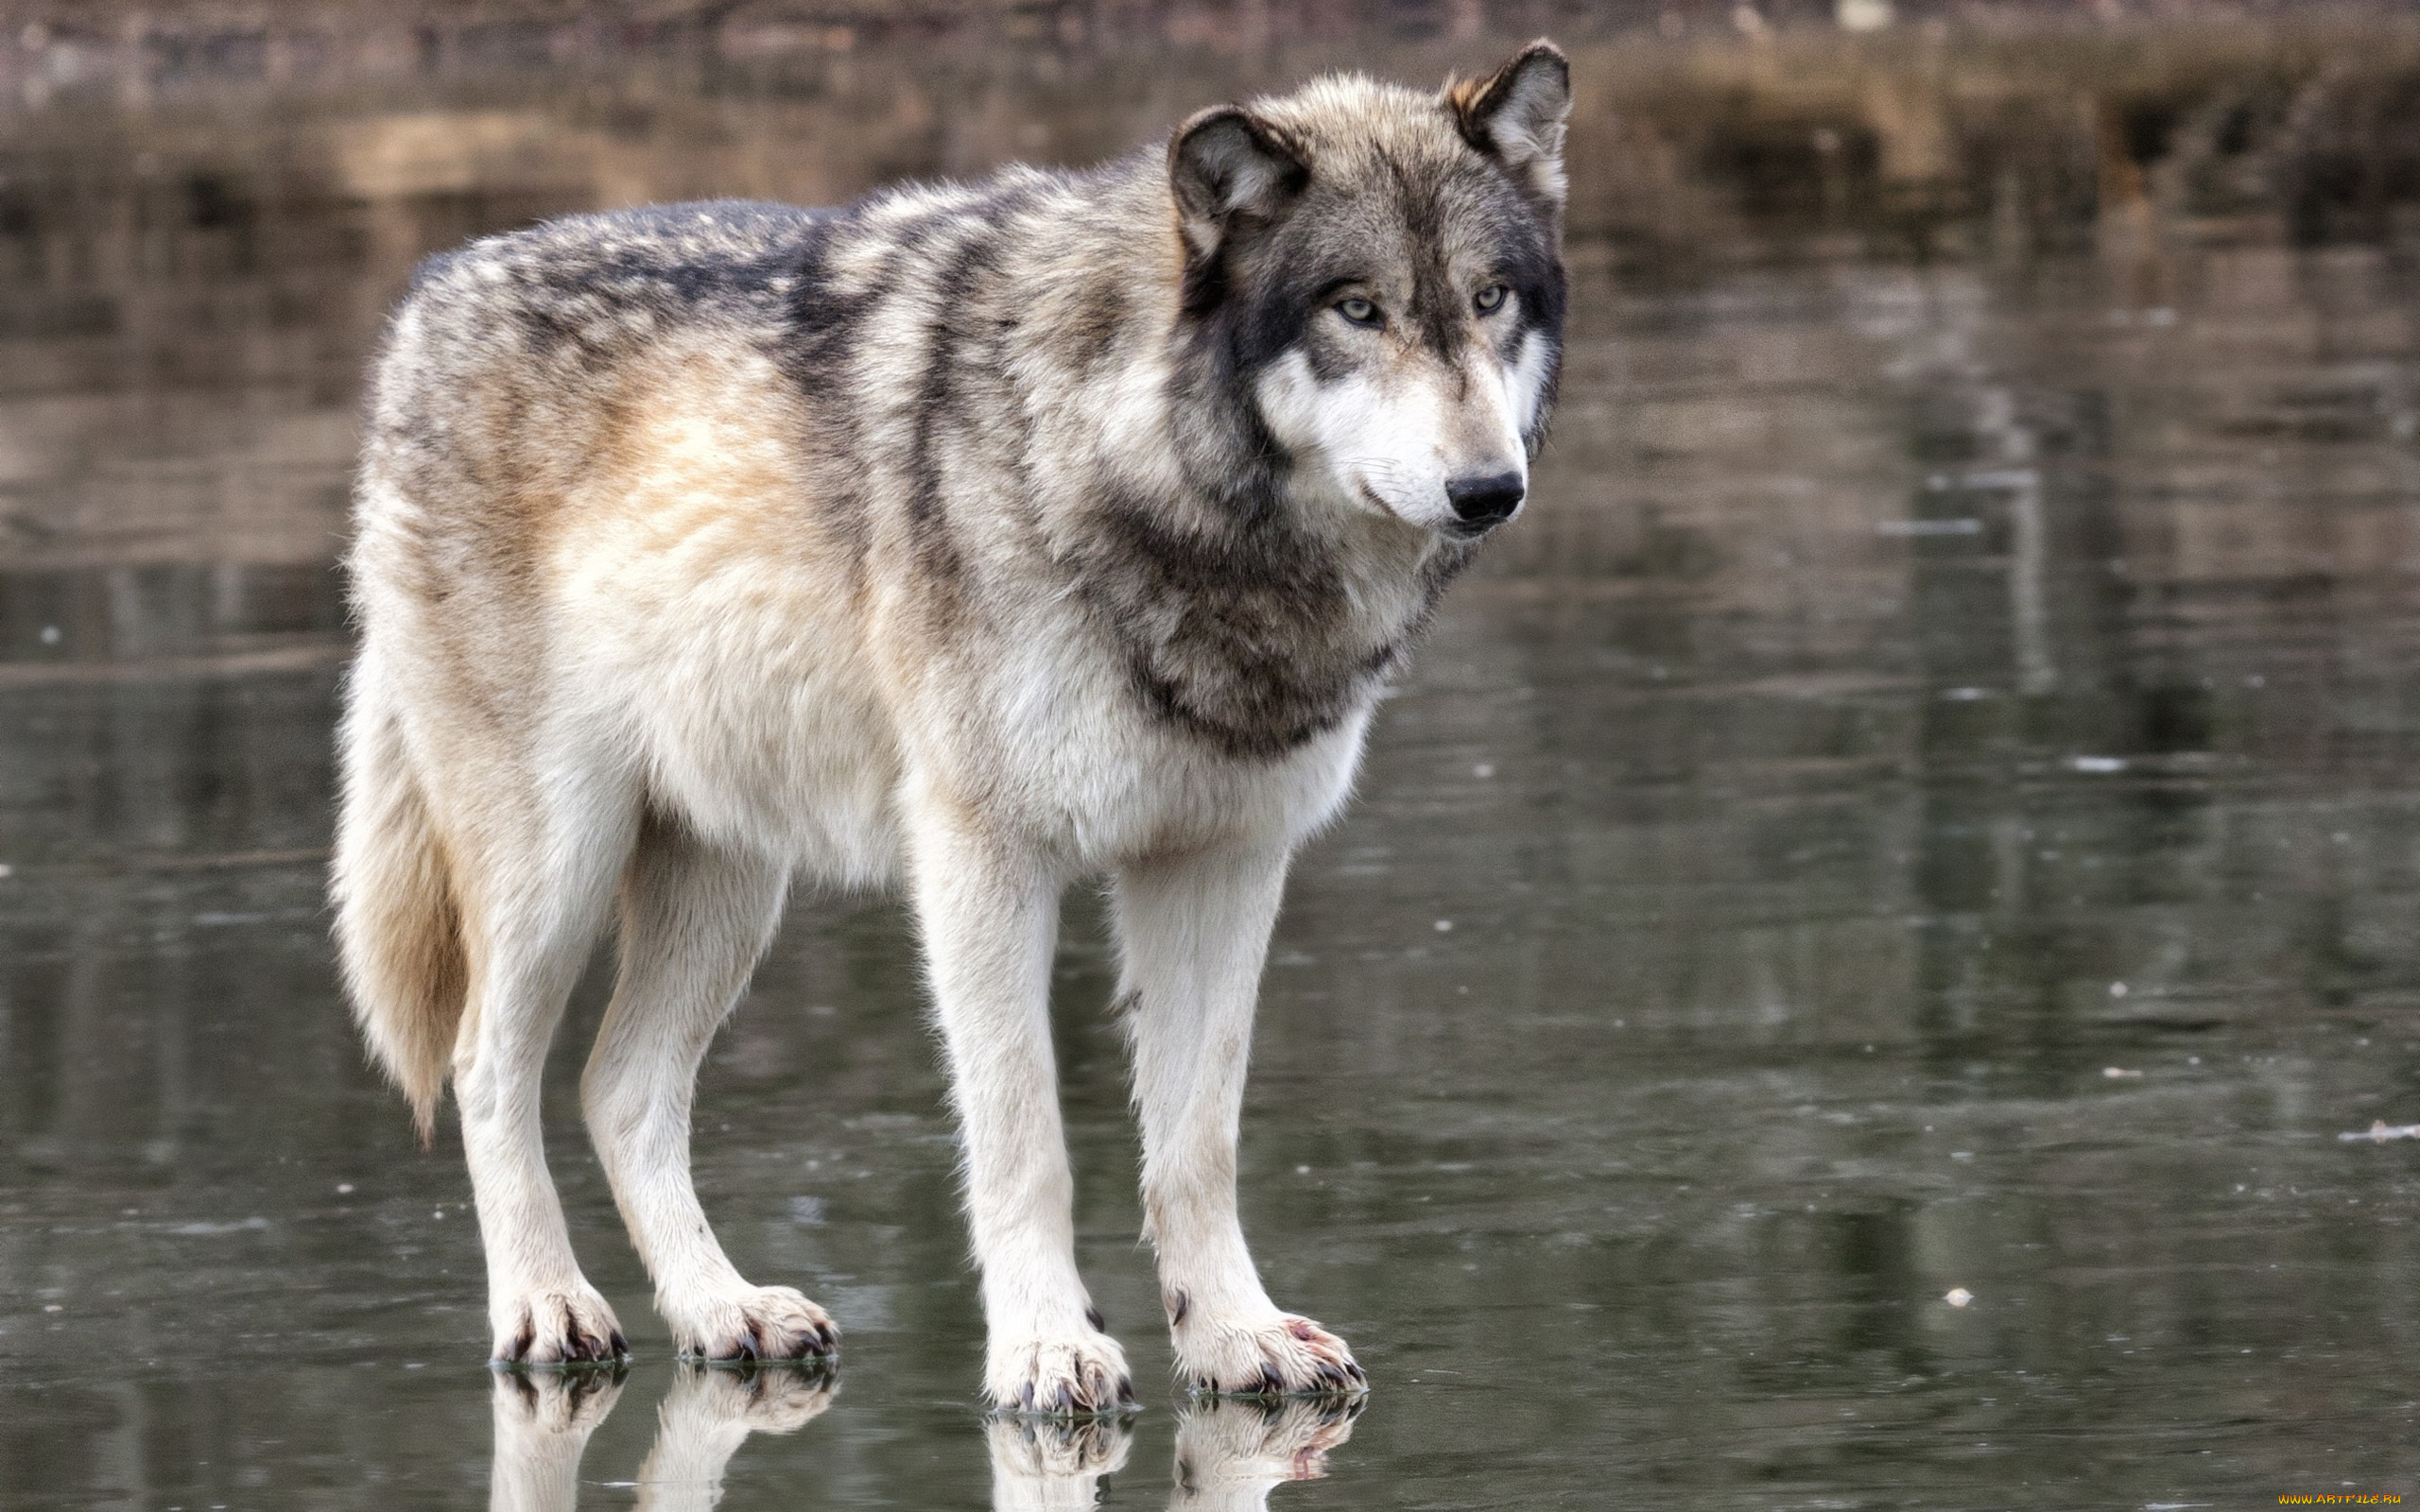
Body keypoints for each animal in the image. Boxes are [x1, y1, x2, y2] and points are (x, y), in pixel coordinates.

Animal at [331, 41, 1567, 1413]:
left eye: (1490, 298)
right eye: (1357, 310)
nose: (1489, 488)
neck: (1157, 487)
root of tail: (429, 296)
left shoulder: (1225, 862)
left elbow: (1199, 1143)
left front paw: (1233, 1335)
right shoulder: (985, 860)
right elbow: (1026, 1138)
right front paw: (1046, 1349)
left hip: (726, 886)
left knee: (620, 1089)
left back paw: (722, 1310)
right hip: (557, 866)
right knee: (487, 1069)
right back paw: (546, 1308)